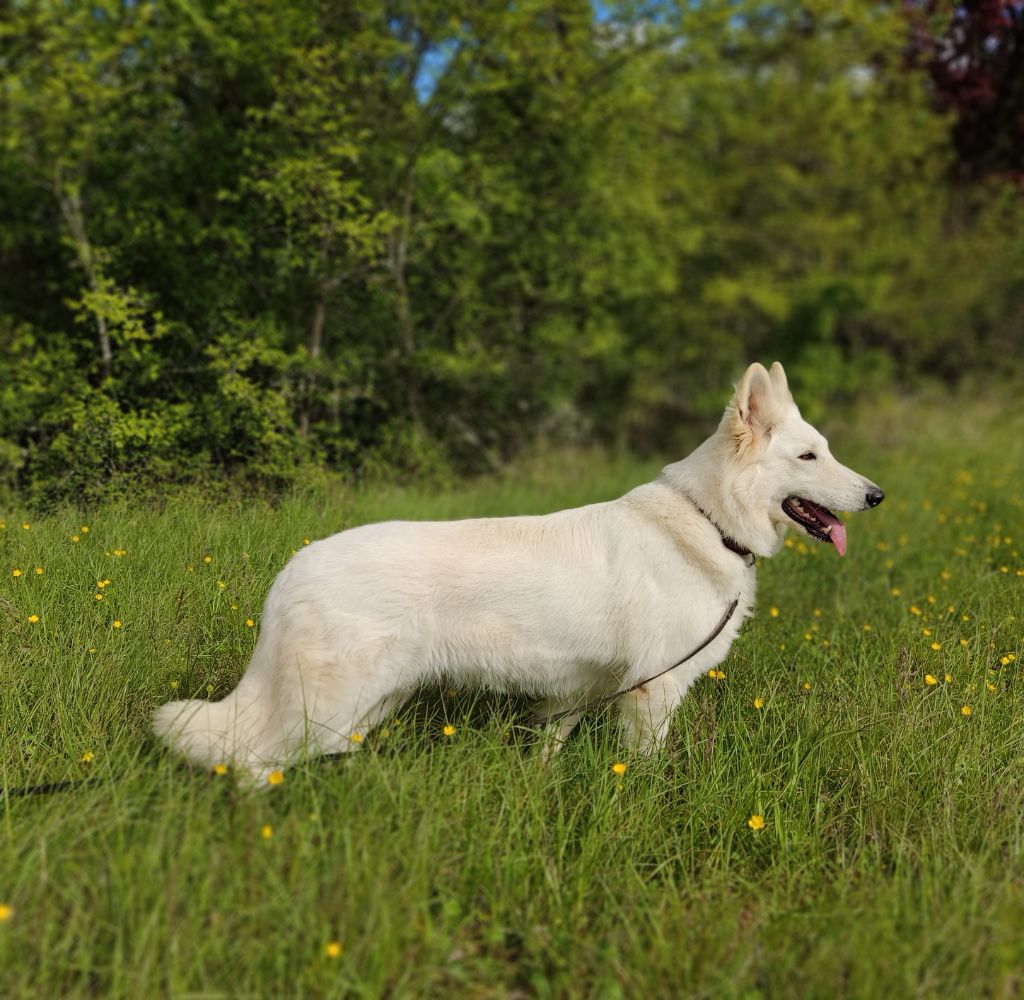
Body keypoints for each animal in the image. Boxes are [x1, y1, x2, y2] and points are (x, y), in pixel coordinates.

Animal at [151, 360, 880, 781]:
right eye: (809, 457)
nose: (877, 496)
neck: (708, 520)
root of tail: (294, 569)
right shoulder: (654, 691)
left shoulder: (582, 693)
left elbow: (549, 748)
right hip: (329, 707)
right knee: (251, 764)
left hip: (363, 707)